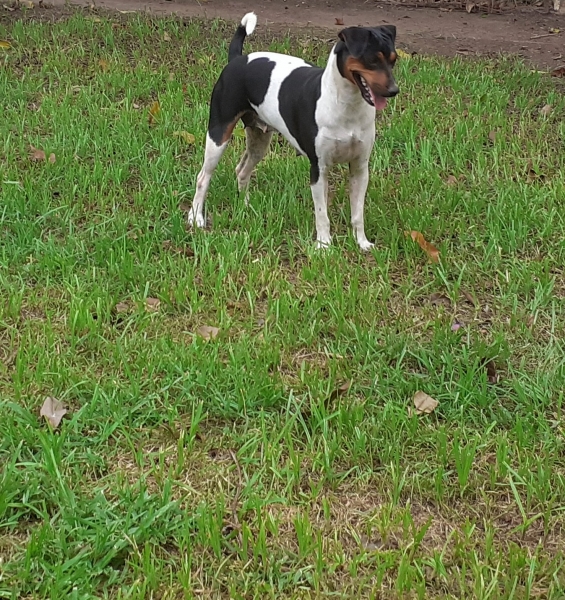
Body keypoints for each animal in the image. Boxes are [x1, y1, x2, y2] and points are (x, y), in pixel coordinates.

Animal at [187, 11, 398, 251]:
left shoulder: (360, 168)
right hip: (218, 135)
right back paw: (196, 217)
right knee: (203, 177)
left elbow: (357, 213)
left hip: (259, 141)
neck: (346, 105)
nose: (394, 90)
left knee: (241, 170)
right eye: (372, 60)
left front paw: (361, 243)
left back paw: (245, 205)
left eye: (394, 60)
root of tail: (237, 59)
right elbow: (322, 214)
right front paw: (324, 246)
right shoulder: (319, 168)